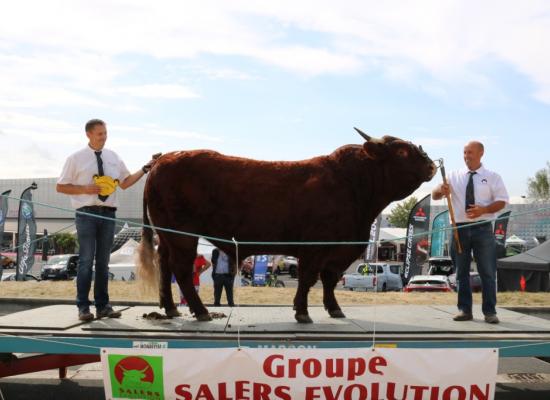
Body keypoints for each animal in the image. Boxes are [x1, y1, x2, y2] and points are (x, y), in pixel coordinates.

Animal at [139, 130, 440, 324]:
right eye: (402, 150)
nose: (430, 163)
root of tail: (162, 159)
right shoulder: (315, 246)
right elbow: (309, 278)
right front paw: (303, 313)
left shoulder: (339, 250)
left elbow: (328, 279)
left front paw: (333, 309)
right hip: (182, 236)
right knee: (180, 269)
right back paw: (200, 311)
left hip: (167, 236)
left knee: (164, 265)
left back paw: (171, 310)